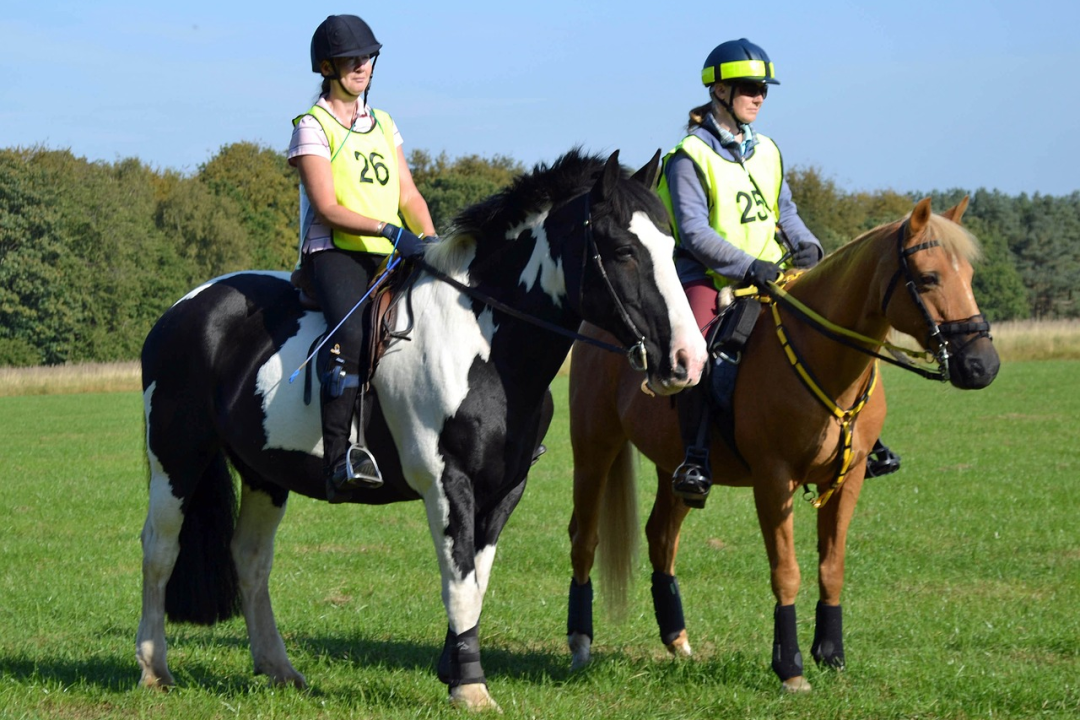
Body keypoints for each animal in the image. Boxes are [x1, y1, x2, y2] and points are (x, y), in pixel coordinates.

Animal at [135, 148, 708, 712]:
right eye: (623, 250)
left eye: (670, 245)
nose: (689, 360)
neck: (484, 343)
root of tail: (184, 308)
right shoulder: (446, 482)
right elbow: (458, 584)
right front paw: (471, 687)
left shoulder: (505, 489)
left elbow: (476, 582)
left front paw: (455, 668)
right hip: (176, 458)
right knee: (160, 549)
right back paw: (153, 669)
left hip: (264, 473)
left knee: (251, 559)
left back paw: (278, 669)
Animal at [570, 197, 997, 690]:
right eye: (928, 278)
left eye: (968, 275)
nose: (983, 365)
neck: (824, 357)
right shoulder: (774, 481)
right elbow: (786, 572)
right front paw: (790, 666)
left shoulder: (847, 481)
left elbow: (832, 568)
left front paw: (831, 653)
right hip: (594, 449)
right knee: (584, 536)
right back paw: (580, 642)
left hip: (675, 470)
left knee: (661, 537)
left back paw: (677, 640)